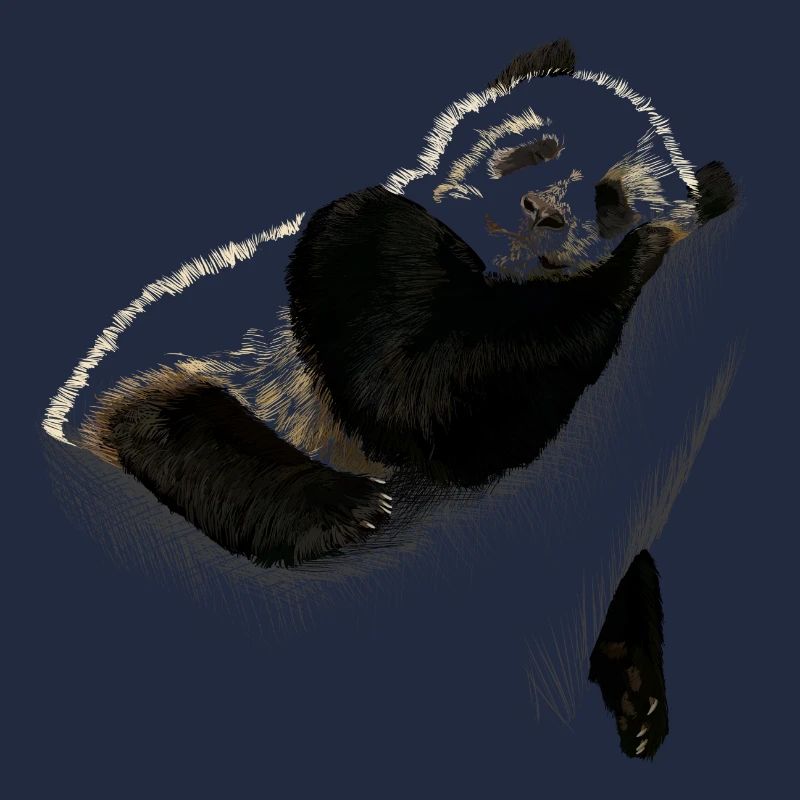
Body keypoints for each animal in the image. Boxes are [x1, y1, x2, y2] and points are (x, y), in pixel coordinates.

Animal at [43, 40, 737, 760]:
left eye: (608, 199)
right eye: (534, 148)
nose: (542, 210)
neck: (497, 270)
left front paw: (639, 690)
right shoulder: (364, 242)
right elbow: (416, 395)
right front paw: (637, 256)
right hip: (170, 379)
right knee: (182, 437)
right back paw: (339, 507)